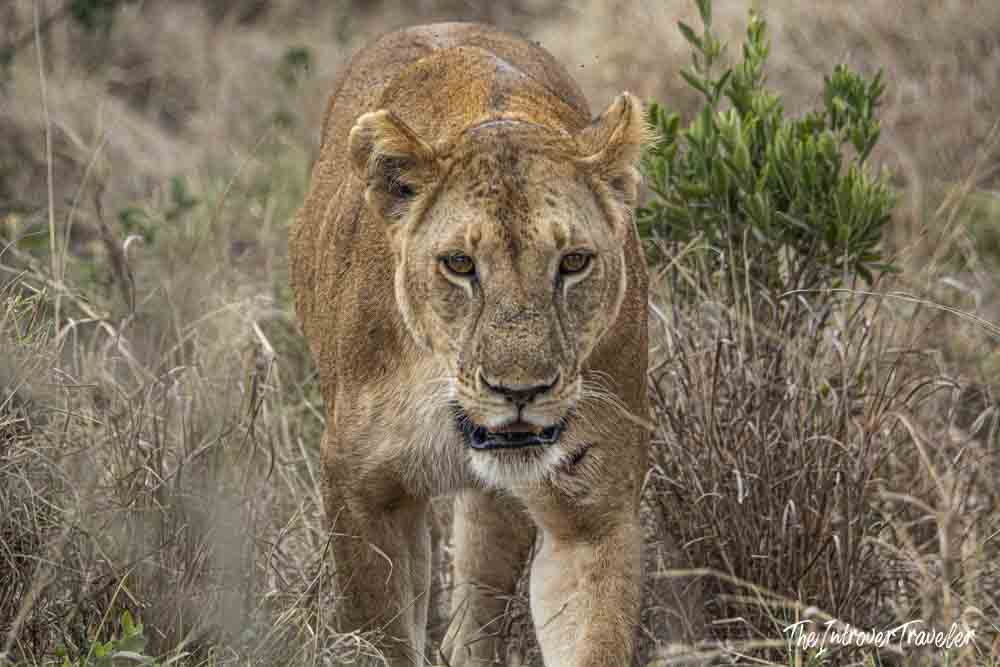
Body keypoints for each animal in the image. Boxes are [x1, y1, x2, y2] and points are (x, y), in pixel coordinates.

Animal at [289, 21, 651, 667]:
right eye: (459, 264)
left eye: (574, 262)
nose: (520, 392)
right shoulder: (361, 488)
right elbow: (381, 636)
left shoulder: (593, 512)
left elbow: (594, 635)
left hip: (497, 512)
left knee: (473, 620)